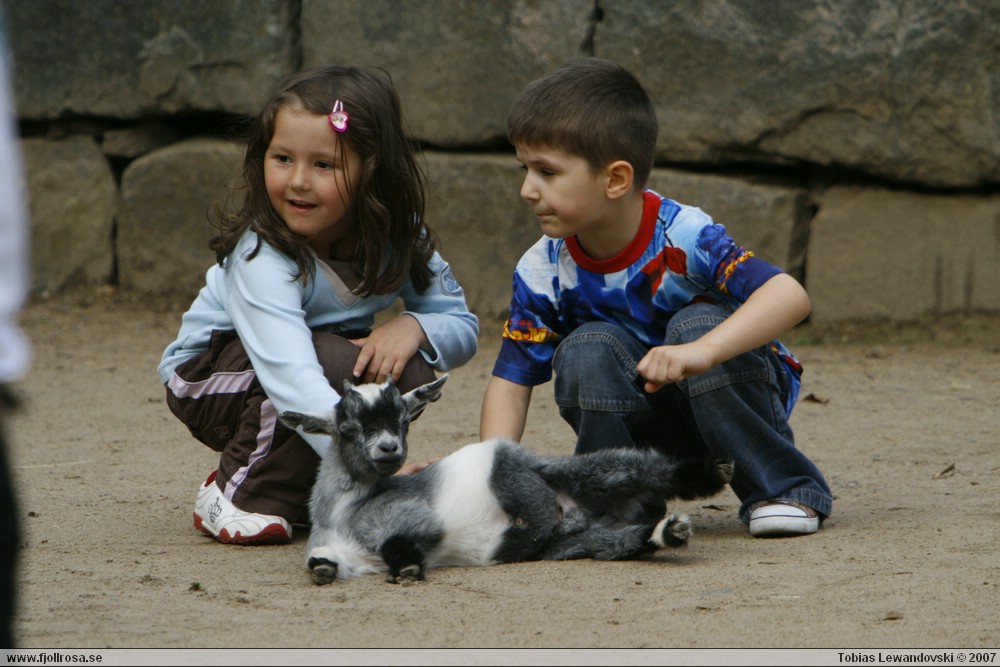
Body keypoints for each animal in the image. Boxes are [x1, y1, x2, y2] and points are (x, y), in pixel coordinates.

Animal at [279, 374, 732, 585]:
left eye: (405, 423)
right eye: (348, 428)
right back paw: (667, 531)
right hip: (572, 544)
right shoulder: (349, 553)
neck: (344, 512)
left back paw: (709, 471)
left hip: (533, 470)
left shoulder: (403, 513)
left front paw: (407, 567)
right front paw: (324, 569)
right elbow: (324, 563)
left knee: (638, 467)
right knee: (618, 540)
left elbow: (406, 535)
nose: (389, 449)